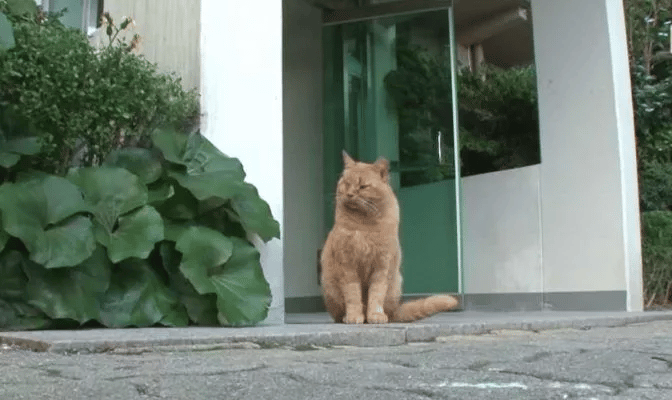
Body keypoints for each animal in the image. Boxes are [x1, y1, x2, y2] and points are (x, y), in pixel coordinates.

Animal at [318, 152, 456, 324]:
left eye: (362, 186)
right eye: (346, 183)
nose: (349, 194)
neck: (364, 226)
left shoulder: (382, 264)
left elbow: (376, 294)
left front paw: (375, 315)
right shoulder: (347, 265)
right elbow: (353, 295)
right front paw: (354, 316)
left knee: (389, 313)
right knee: (339, 314)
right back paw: (347, 317)